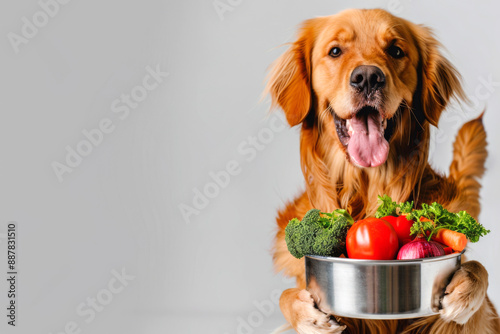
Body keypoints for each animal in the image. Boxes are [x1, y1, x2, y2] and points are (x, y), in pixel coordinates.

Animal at [266, 7, 500, 334]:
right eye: (335, 51)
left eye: (396, 50)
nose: (367, 77)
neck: (366, 190)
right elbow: (286, 296)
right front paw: (306, 314)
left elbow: (477, 273)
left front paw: (466, 289)